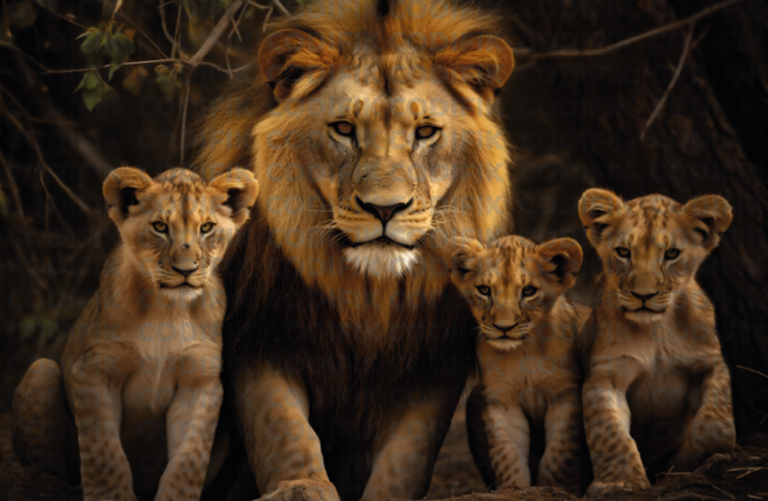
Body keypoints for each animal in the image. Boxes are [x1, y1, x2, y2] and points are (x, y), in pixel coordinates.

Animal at [11, 167, 258, 501]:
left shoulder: (200, 381)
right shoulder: (95, 371)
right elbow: (105, 453)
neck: (167, 311)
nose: (186, 270)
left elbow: (187, 462)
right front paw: (110, 495)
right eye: (159, 227)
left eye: (206, 227)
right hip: (41, 370)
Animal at [192, 0, 515, 499]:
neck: (368, 295)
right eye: (344, 129)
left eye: (426, 132)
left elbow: (407, 458)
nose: (385, 208)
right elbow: (283, 429)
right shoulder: (258, 336)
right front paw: (302, 486)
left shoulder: (432, 362)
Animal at [451, 236, 589, 494]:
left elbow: (559, 455)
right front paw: (514, 489)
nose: (503, 327)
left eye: (529, 291)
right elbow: (507, 454)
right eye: (484, 290)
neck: (524, 352)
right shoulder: (501, 398)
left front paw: (552, 488)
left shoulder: (565, 394)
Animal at [578, 189, 736, 498]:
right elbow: (609, 432)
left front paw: (687, 464)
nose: (643, 295)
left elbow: (716, 424)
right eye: (623, 252)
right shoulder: (606, 375)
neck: (657, 330)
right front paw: (619, 482)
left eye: (672, 254)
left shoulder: (711, 363)